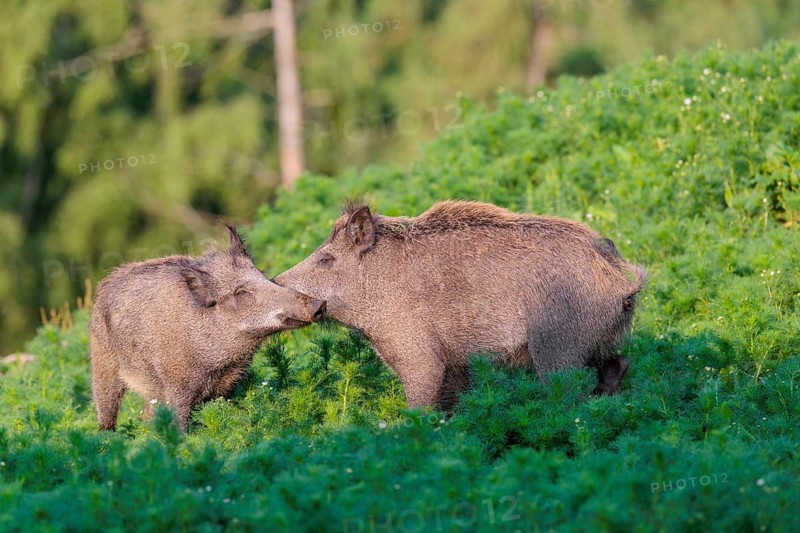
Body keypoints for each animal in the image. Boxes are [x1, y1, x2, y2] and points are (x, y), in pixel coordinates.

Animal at [90, 226, 326, 431]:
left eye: (263, 277)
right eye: (241, 292)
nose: (320, 305)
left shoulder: (228, 386)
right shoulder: (177, 387)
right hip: (103, 366)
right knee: (107, 414)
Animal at [275, 201, 645, 409]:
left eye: (325, 259)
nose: (275, 280)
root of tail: (619, 277)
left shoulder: (419, 357)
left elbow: (420, 407)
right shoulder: (454, 364)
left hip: (558, 346)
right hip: (596, 342)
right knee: (619, 363)